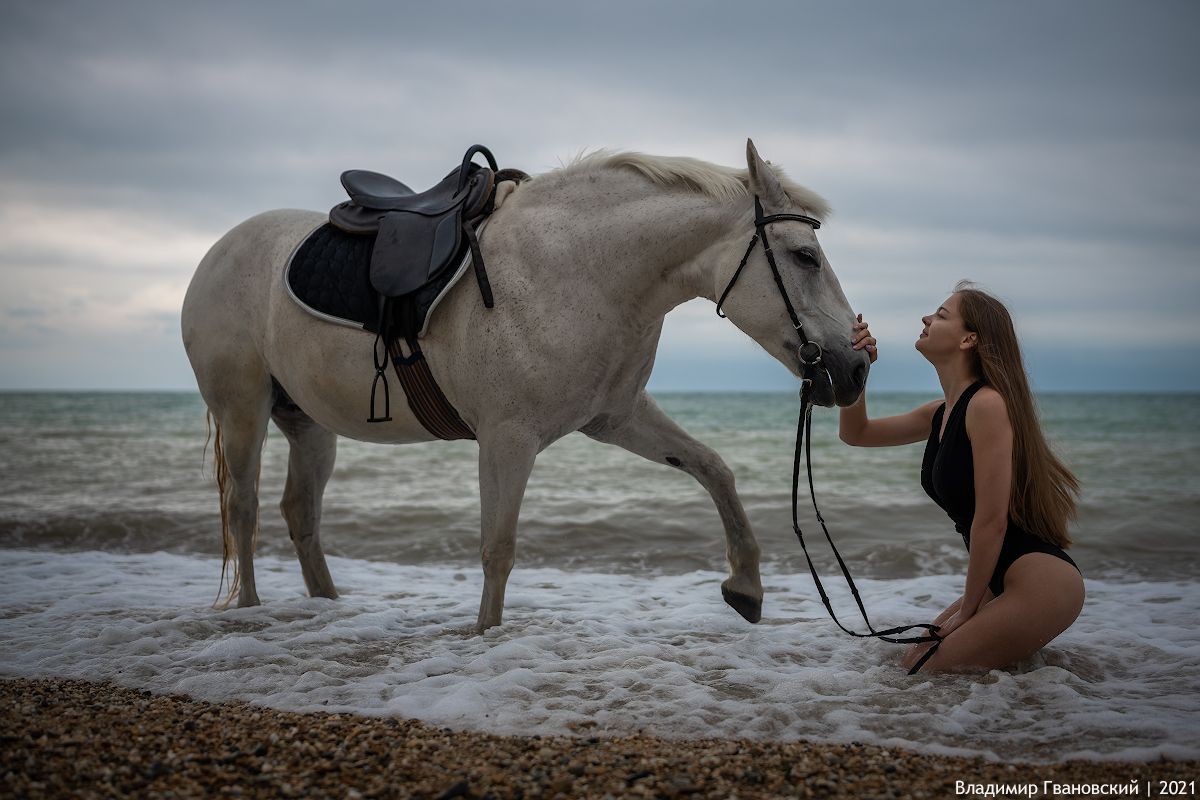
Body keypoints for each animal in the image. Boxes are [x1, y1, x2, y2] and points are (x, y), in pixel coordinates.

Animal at [182, 142, 868, 633]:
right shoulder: (507, 440)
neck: (574, 271)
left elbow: (713, 468)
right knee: (242, 506)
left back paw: (327, 605)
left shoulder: (616, 419)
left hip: (308, 424)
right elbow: (499, 547)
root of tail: (220, 249)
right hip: (243, 410)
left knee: (300, 511)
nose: (854, 369)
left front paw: (745, 586)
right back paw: (248, 609)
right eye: (804, 256)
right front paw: (486, 633)